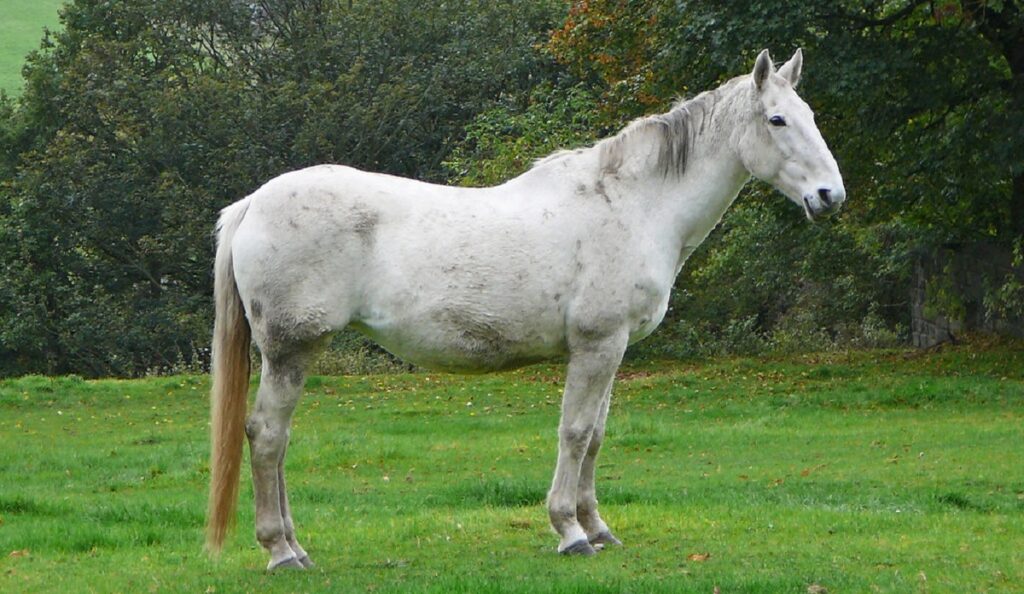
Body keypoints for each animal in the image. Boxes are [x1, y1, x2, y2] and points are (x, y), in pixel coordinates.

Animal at [203, 48, 843, 569]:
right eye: (777, 120)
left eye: (811, 116)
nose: (830, 196)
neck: (632, 205)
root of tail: (254, 203)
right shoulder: (597, 345)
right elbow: (575, 432)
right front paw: (570, 531)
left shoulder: (613, 350)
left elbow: (597, 436)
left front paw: (597, 527)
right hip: (290, 349)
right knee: (266, 435)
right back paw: (280, 551)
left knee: (279, 440)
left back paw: (295, 544)